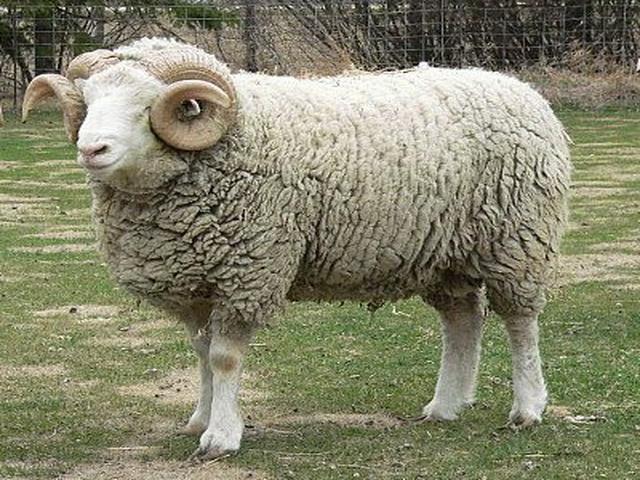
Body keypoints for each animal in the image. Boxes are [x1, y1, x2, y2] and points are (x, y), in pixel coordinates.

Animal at [22, 38, 571, 460]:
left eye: (145, 107)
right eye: (88, 100)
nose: (91, 149)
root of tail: (520, 89)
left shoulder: (249, 270)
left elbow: (223, 358)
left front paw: (221, 438)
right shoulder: (198, 279)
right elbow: (200, 355)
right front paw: (201, 417)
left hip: (517, 239)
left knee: (520, 321)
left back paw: (528, 408)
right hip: (444, 253)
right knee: (463, 319)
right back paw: (446, 406)